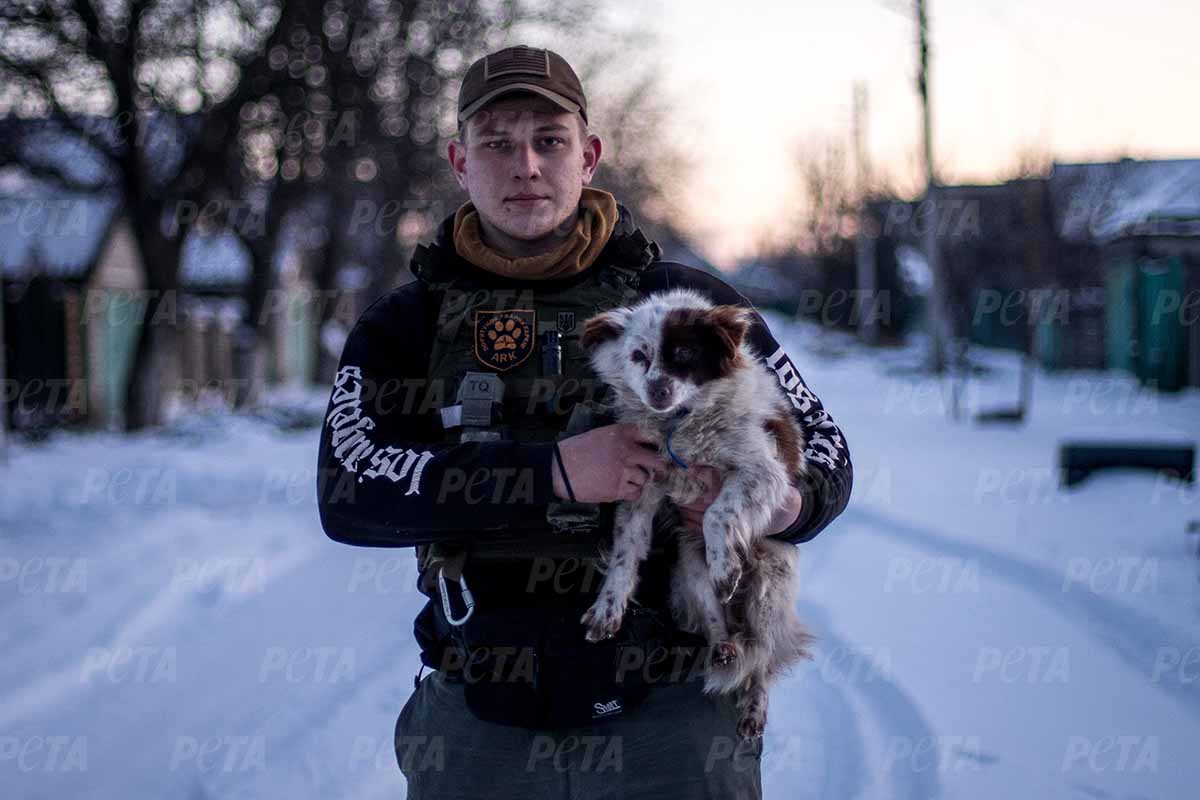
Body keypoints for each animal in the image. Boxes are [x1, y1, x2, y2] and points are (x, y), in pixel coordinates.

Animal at [573, 286, 816, 738]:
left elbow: (715, 514)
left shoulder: (761, 472)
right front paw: (608, 610)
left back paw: (754, 706)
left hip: (769, 590)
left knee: (763, 658)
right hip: (688, 570)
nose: (658, 391)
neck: (680, 422)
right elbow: (625, 554)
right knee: (719, 622)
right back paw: (723, 647)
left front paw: (726, 565)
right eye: (638, 355)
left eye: (684, 353)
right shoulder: (641, 484)